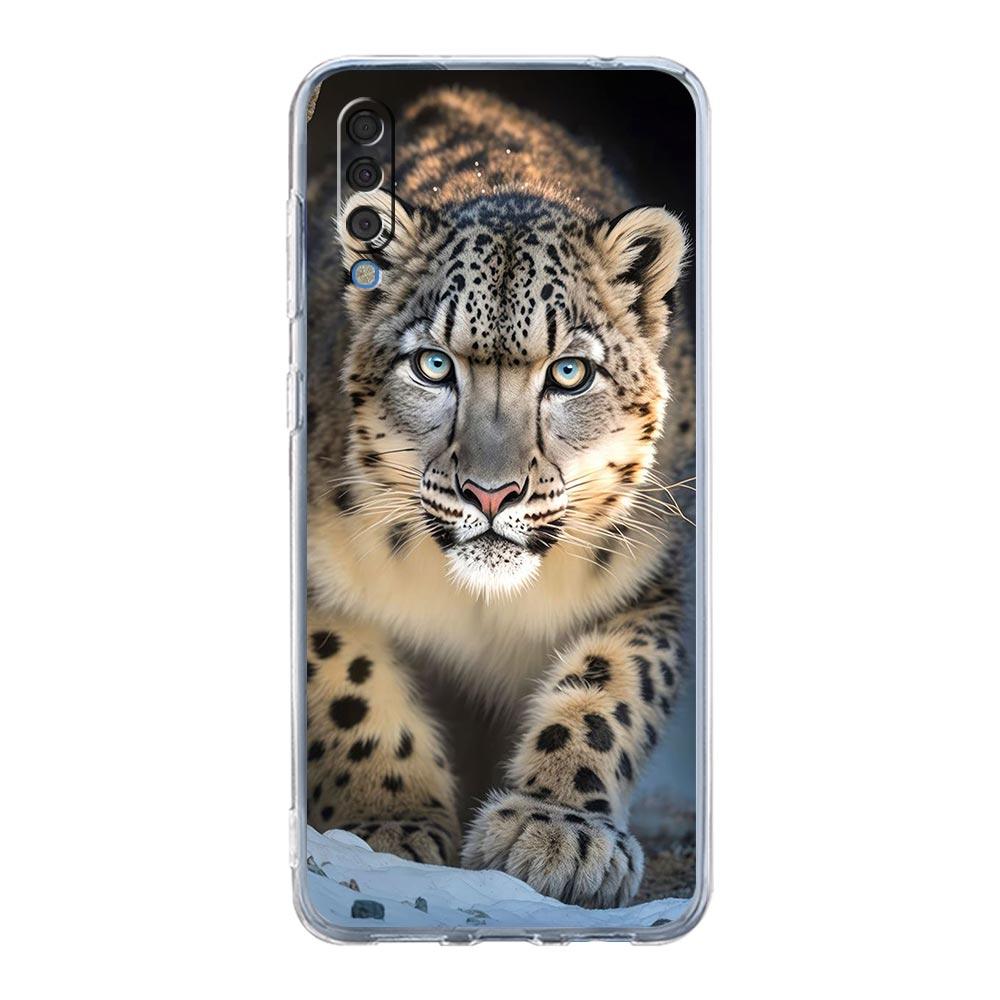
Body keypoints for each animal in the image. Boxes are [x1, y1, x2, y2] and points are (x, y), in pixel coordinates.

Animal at [303, 86, 695, 908]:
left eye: (570, 373)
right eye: (432, 364)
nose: (492, 492)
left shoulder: (648, 581)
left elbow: (609, 688)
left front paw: (557, 832)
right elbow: (349, 682)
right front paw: (385, 823)